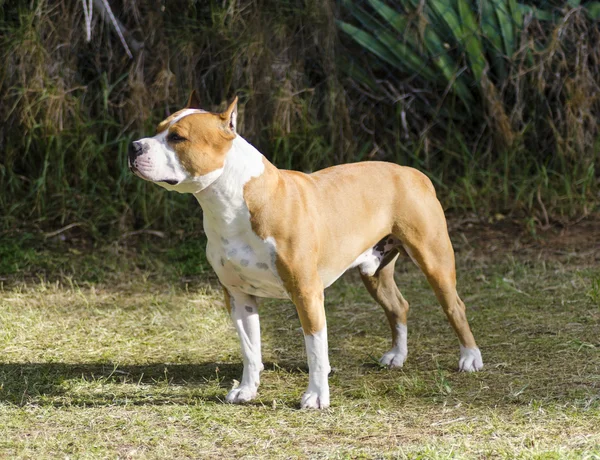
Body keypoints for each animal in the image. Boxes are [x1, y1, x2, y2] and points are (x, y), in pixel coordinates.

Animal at [130, 93, 482, 410]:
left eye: (177, 137)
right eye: (157, 129)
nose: (134, 146)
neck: (232, 203)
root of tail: (413, 172)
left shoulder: (306, 292)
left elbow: (315, 349)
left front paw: (316, 396)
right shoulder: (238, 296)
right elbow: (250, 349)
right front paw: (246, 390)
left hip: (434, 260)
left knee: (455, 306)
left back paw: (470, 357)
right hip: (374, 272)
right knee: (398, 306)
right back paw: (397, 356)